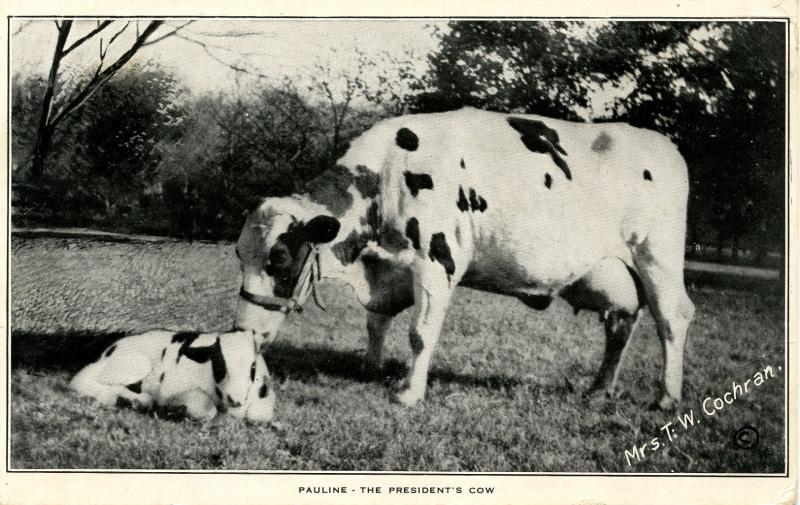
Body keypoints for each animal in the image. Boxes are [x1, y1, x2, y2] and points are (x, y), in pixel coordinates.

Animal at [69, 326, 276, 422]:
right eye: (219, 365)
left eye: (252, 368)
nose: (236, 399)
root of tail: (108, 350)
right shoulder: (172, 390)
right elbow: (206, 410)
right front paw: (175, 410)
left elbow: (261, 414)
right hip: (134, 364)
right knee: (85, 383)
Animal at [233, 106, 692, 410]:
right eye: (239, 254)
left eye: (279, 257)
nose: (243, 333)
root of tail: (662, 145)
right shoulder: (393, 267)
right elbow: (376, 320)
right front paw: (370, 365)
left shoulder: (436, 262)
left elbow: (420, 333)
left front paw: (409, 392)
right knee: (620, 324)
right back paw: (599, 389)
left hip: (658, 256)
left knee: (672, 317)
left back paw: (667, 398)